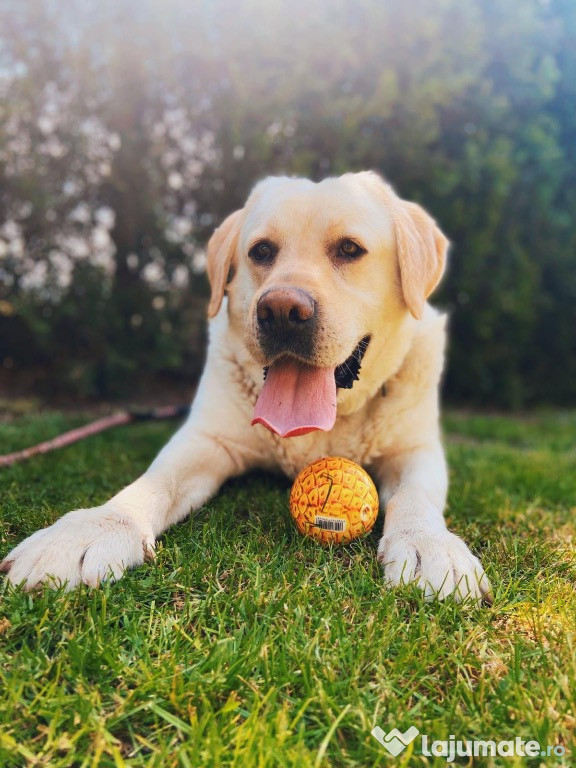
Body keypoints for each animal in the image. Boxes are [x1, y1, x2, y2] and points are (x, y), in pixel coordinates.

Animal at [1, 171, 490, 604]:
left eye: (350, 249)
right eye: (262, 251)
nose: (282, 311)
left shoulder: (415, 451)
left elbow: (416, 497)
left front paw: (429, 545)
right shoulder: (207, 441)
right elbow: (154, 482)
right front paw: (93, 527)